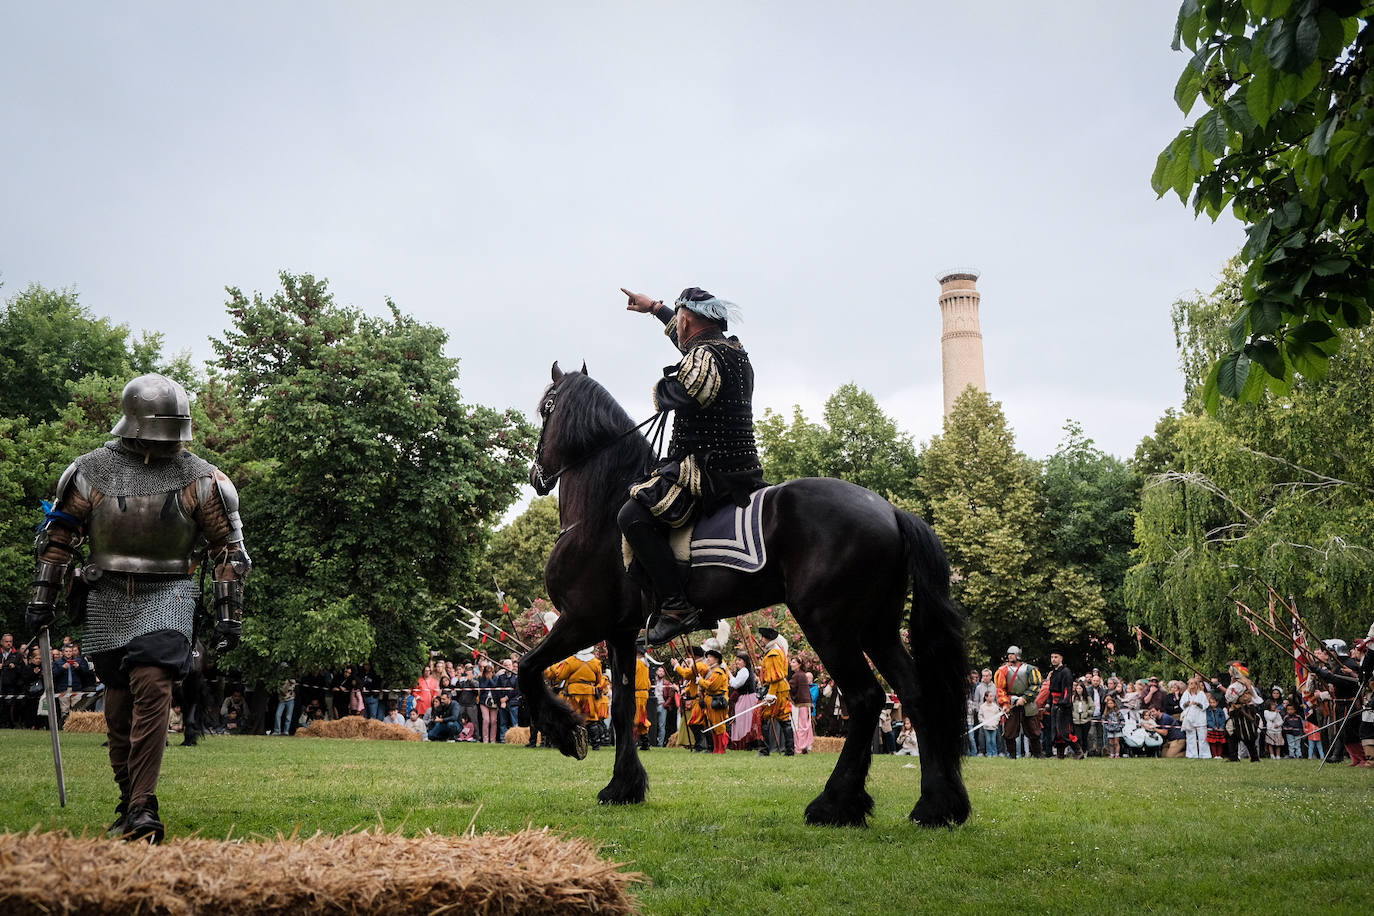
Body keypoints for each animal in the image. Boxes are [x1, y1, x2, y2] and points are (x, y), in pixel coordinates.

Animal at [516, 368, 978, 829]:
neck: (597, 515)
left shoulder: (582, 619)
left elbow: (528, 668)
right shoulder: (621, 631)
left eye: (546, 408)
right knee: (917, 696)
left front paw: (568, 732)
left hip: (828, 625)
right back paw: (935, 805)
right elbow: (623, 707)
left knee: (866, 699)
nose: (537, 475)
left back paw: (834, 803)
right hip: (876, 628)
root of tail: (891, 510)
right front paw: (622, 787)